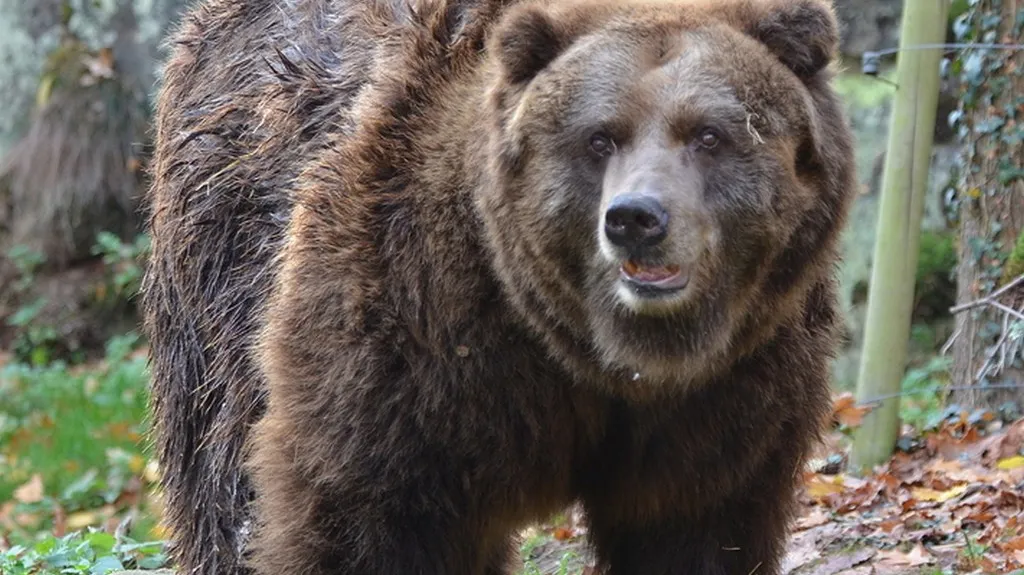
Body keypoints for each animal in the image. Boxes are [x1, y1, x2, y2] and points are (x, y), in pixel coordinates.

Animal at [140, 0, 857, 573]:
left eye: (710, 134)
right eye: (600, 137)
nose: (637, 219)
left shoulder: (730, 387)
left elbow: (698, 522)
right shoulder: (412, 336)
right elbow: (362, 516)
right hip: (219, 279)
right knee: (216, 479)